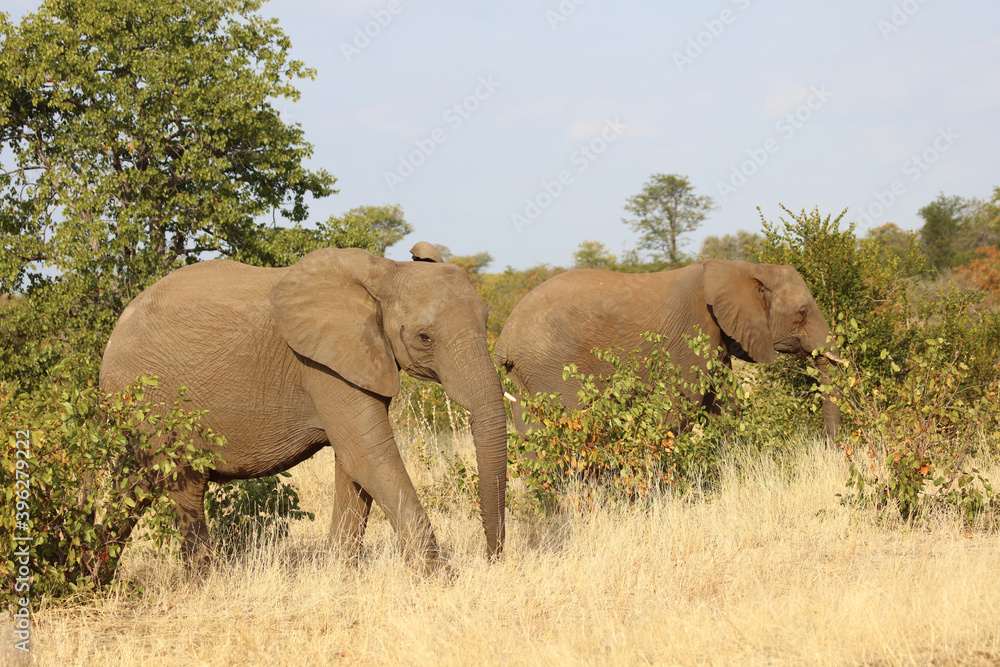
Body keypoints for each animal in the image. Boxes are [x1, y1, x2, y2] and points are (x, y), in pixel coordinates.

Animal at [99, 243, 508, 572]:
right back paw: (203, 585)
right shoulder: (322, 364)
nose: (492, 559)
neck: (387, 271)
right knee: (184, 485)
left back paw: (96, 579)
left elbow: (353, 467)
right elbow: (368, 456)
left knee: (134, 484)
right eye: (425, 338)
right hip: (154, 399)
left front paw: (340, 578)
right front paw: (442, 580)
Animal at [498, 258, 844, 440]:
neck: (742, 267)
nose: (829, 446)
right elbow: (681, 407)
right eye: (802, 314)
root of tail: (505, 339)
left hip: (528, 374)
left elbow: (724, 405)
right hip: (551, 366)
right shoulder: (694, 332)